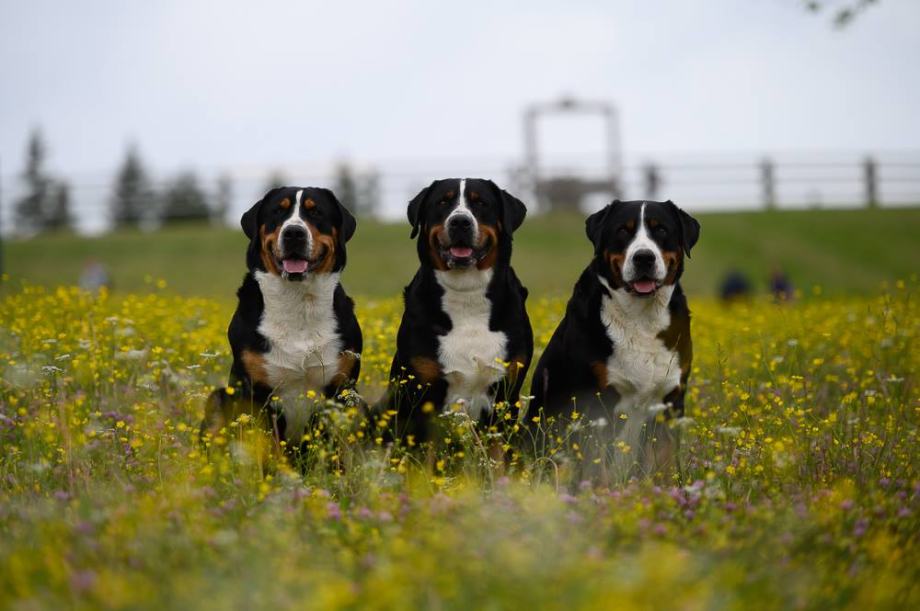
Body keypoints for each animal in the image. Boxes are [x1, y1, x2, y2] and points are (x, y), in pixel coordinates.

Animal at [201, 186, 362, 450]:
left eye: (315, 211)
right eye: (278, 211)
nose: (294, 233)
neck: (298, 303)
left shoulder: (339, 389)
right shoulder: (256, 393)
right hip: (219, 398)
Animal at [376, 178, 532, 444]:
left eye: (481, 203)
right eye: (442, 202)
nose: (460, 221)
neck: (467, 295)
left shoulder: (506, 394)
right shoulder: (421, 393)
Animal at [528, 201, 700, 478]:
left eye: (661, 229)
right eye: (623, 231)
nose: (644, 257)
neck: (642, 319)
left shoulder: (670, 400)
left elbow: (663, 463)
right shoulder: (597, 402)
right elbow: (598, 467)